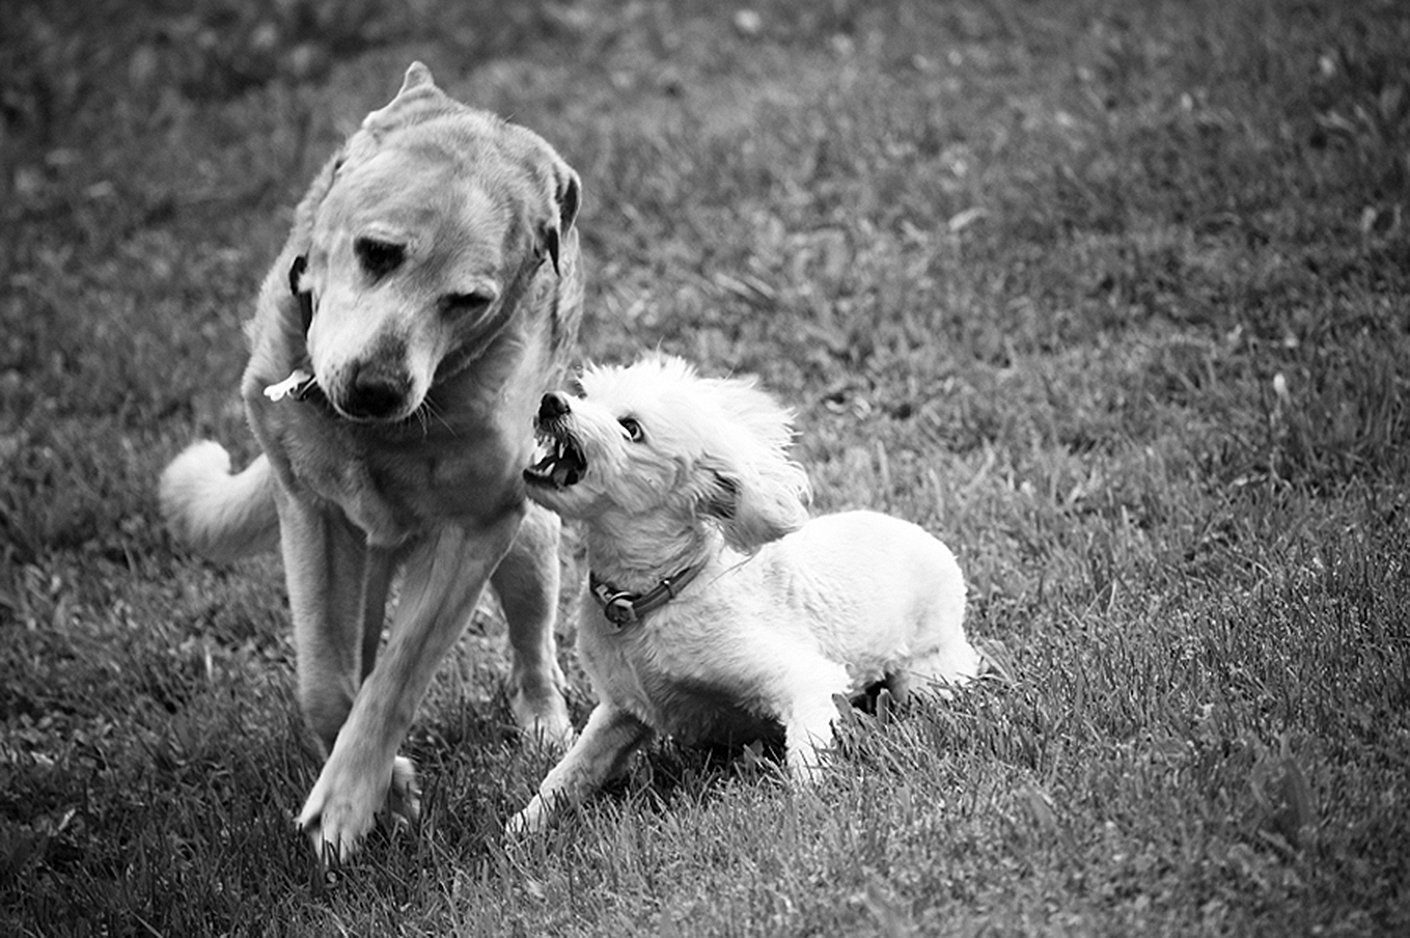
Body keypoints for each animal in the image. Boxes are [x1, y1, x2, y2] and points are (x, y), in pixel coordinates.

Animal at [162, 62, 580, 857]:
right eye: (378, 252)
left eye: (467, 299)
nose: (377, 388)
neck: (377, 437)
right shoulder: (311, 512)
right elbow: (325, 683)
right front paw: (387, 788)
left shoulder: (478, 527)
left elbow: (399, 673)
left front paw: (351, 798)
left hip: (528, 543)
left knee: (533, 646)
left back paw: (546, 723)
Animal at [507, 355, 981, 829]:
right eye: (587, 394)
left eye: (631, 428)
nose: (551, 402)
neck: (653, 596)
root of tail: (926, 537)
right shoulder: (622, 711)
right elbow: (571, 771)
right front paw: (525, 825)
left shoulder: (806, 681)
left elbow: (808, 754)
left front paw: (809, 807)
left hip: (927, 674)